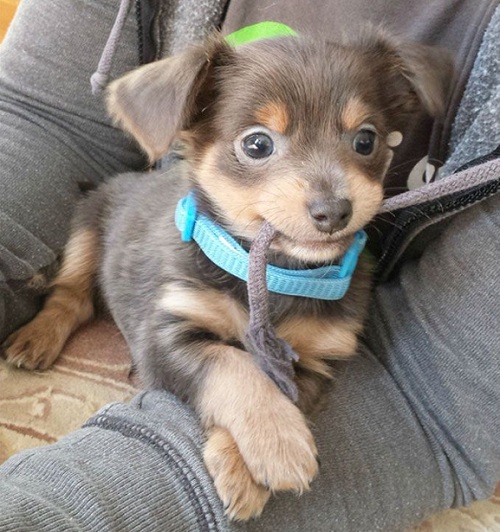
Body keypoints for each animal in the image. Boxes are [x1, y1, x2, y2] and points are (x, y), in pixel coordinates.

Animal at [1, 28, 452, 520]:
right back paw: (37, 337)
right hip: (87, 227)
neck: (275, 273)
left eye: (366, 141)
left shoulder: (314, 358)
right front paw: (279, 443)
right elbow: (231, 364)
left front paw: (245, 463)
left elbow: (276, 383)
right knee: (72, 296)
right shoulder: (165, 336)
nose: (334, 211)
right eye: (257, 145)